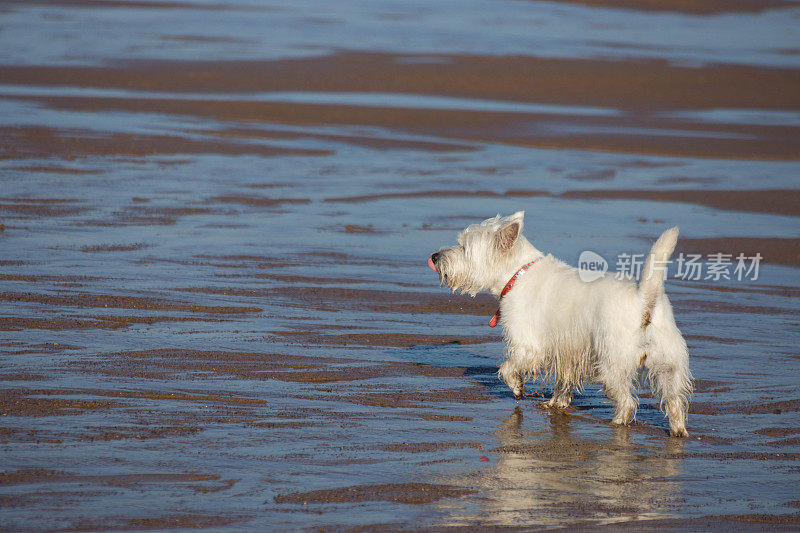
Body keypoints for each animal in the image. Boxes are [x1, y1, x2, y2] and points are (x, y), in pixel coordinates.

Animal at [428, 212, 692, 436]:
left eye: (464, 247)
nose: (434, 256)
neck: (517, 273)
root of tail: (644, 301)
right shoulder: (567, 351)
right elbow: (563, 381)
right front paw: (556, 403)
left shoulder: (529, 344)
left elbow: (508, 367)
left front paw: (517, 388)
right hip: (669, 364)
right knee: (674, 400)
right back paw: (678, 431)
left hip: (611, 363)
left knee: (626, 402)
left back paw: (617, 422)